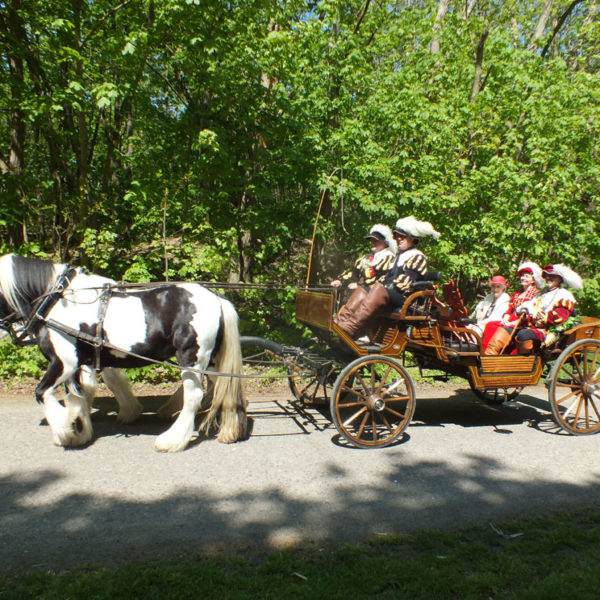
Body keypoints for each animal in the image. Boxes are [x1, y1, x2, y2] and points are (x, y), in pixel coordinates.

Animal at [0, 251, 246, 452]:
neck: (57, 300)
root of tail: (216, 298)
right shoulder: (78, 363)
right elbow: (77, 394)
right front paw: (79, 431)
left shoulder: (64, 362)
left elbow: (42, 393)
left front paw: (64, 430)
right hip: (211, 360)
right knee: (223, 387)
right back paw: (230, 431)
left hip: (191, 358)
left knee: (195, 396)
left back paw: (171, 441)